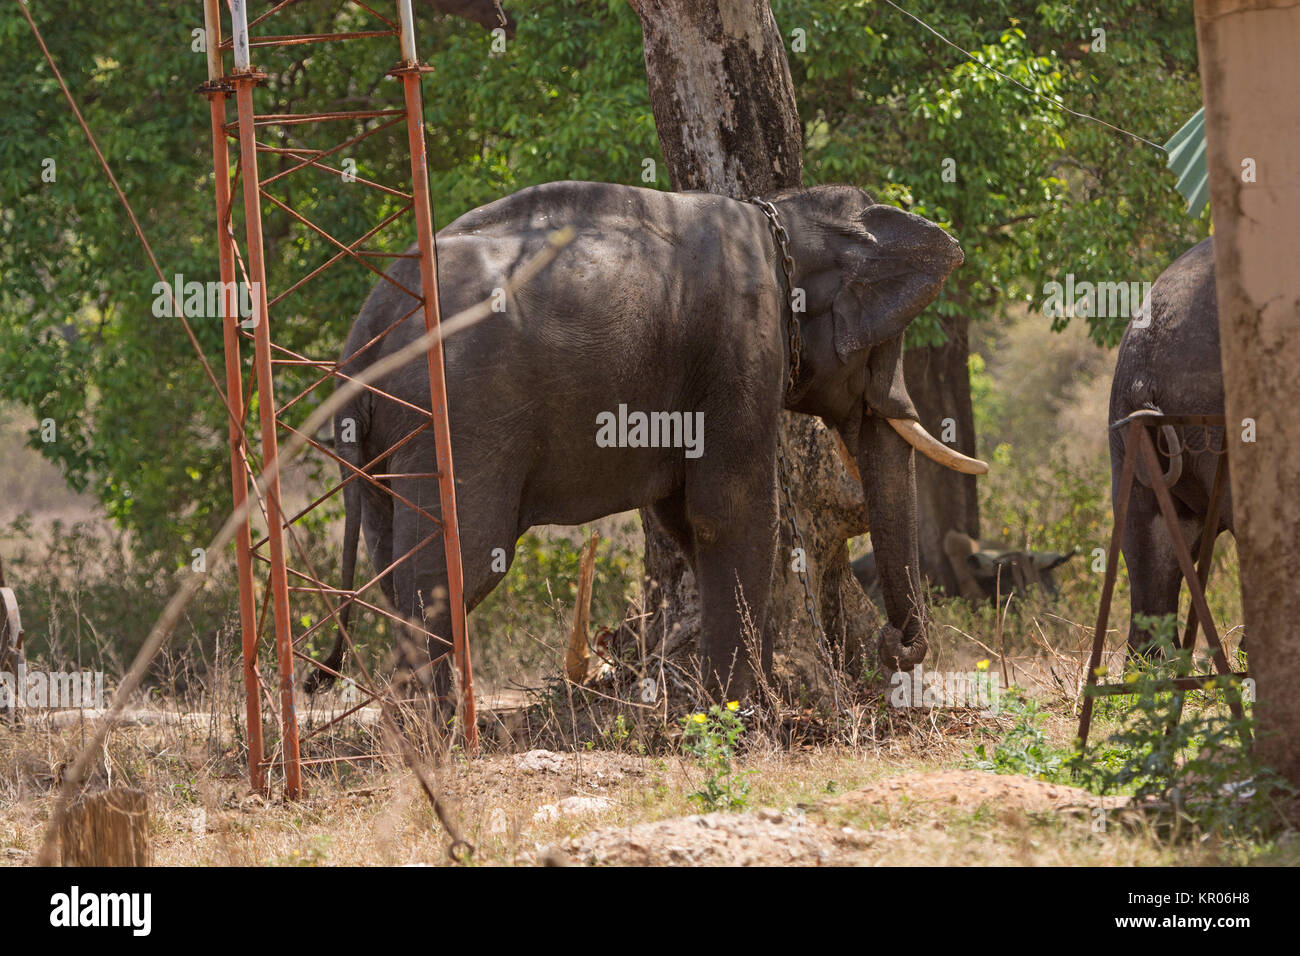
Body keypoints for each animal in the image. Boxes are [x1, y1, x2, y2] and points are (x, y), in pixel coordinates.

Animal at [301, 179, 977, 702]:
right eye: (885, 344)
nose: (895, 644)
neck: (780, 217)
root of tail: (367, 328)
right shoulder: (739, 347)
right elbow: (732, 512)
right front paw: (743, 713)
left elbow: (684, 518)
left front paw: (735, 699)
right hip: (458, 420)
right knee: (455, 563)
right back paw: (438, 741)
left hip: (385, 442)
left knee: (392, 569)